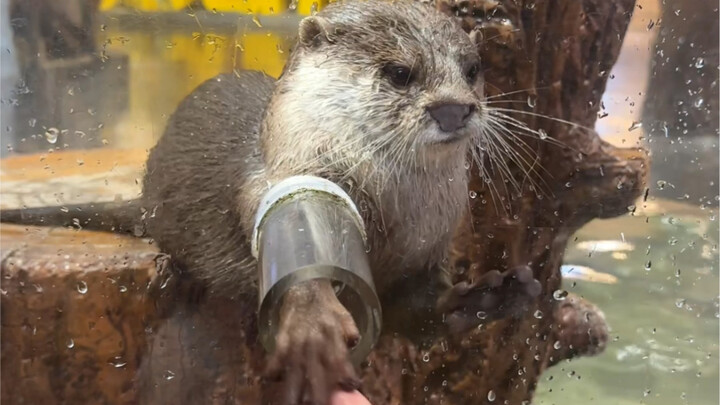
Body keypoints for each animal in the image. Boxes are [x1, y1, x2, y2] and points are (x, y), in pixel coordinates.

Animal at [1, 1, 541, 404]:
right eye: (399, 72)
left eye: (472, 69)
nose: (454, 109)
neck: (395, 213)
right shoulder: (276, 180)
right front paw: (314, 323)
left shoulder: (425, 253)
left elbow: (422, 313)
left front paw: (487, 297)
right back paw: (174, 274)